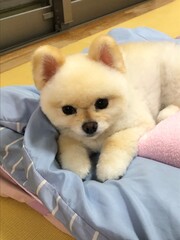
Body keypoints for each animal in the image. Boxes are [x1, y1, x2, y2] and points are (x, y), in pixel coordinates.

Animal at [32, 35, 180, 181]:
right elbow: (67, 143)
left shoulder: (138, 125)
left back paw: (166, 113)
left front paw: (109, 168)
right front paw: (77, 166)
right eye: (67, 110)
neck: (99, 136)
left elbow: (114, 140)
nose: (89, 126)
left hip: (172, 76)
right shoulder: (68, 133)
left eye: (102, 103)